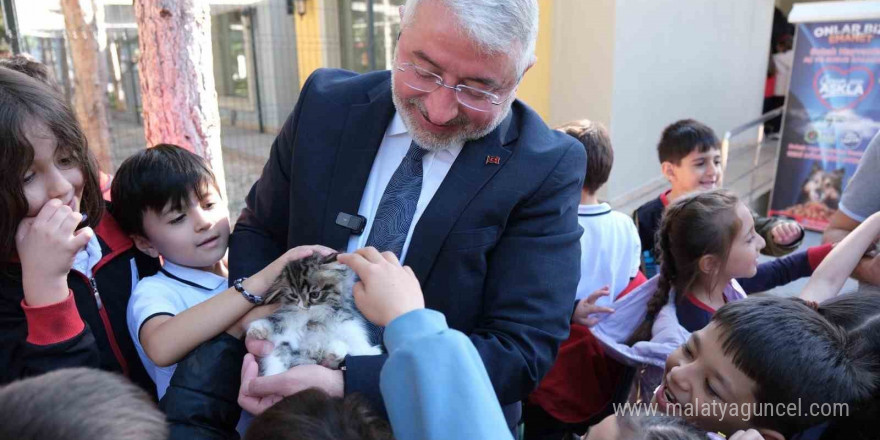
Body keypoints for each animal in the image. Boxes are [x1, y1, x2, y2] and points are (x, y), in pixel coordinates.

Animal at [246, 253, 380, 376]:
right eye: (294, 296)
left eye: (315, 294)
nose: (304, 306)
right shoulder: (286, 326)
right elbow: (276, 324)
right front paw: (258, 328)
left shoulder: (343, 316)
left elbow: (354, 338)